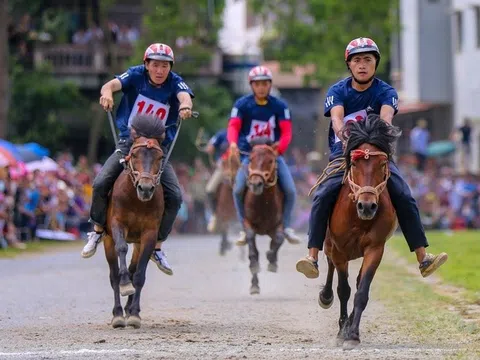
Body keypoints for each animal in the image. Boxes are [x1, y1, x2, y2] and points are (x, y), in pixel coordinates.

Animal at [103, 114, 167, 330]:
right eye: (134, 154)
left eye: (160, 157)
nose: (145, 188)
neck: (135, 200)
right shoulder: (117, 224)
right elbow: (121, 249)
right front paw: (124, 285)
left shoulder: (149, 234)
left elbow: (139, 275)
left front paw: (135, 314)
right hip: (106, 239)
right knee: (113, 274)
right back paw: (117, 314)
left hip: (138, 242)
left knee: (134, 268)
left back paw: (128, 309)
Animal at [230, 139, 284, 294]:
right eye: (251, 159)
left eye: (271, 160)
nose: (256, 183)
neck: (262, 203)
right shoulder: (248, 222)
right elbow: (252, 248)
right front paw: (254, 275)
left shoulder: (278, 224)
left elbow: (279, 239)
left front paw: (272, 260)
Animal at [316, 114, 402, 348]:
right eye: (354, 163)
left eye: (383, 163)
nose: (367, 206)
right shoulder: (339, 250)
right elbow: (343, 290)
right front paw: (342, 331)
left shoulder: (375, 248)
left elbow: (361, 291)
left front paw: (352, 333)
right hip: (329, 244)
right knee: (330, 268)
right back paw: (325, 296)